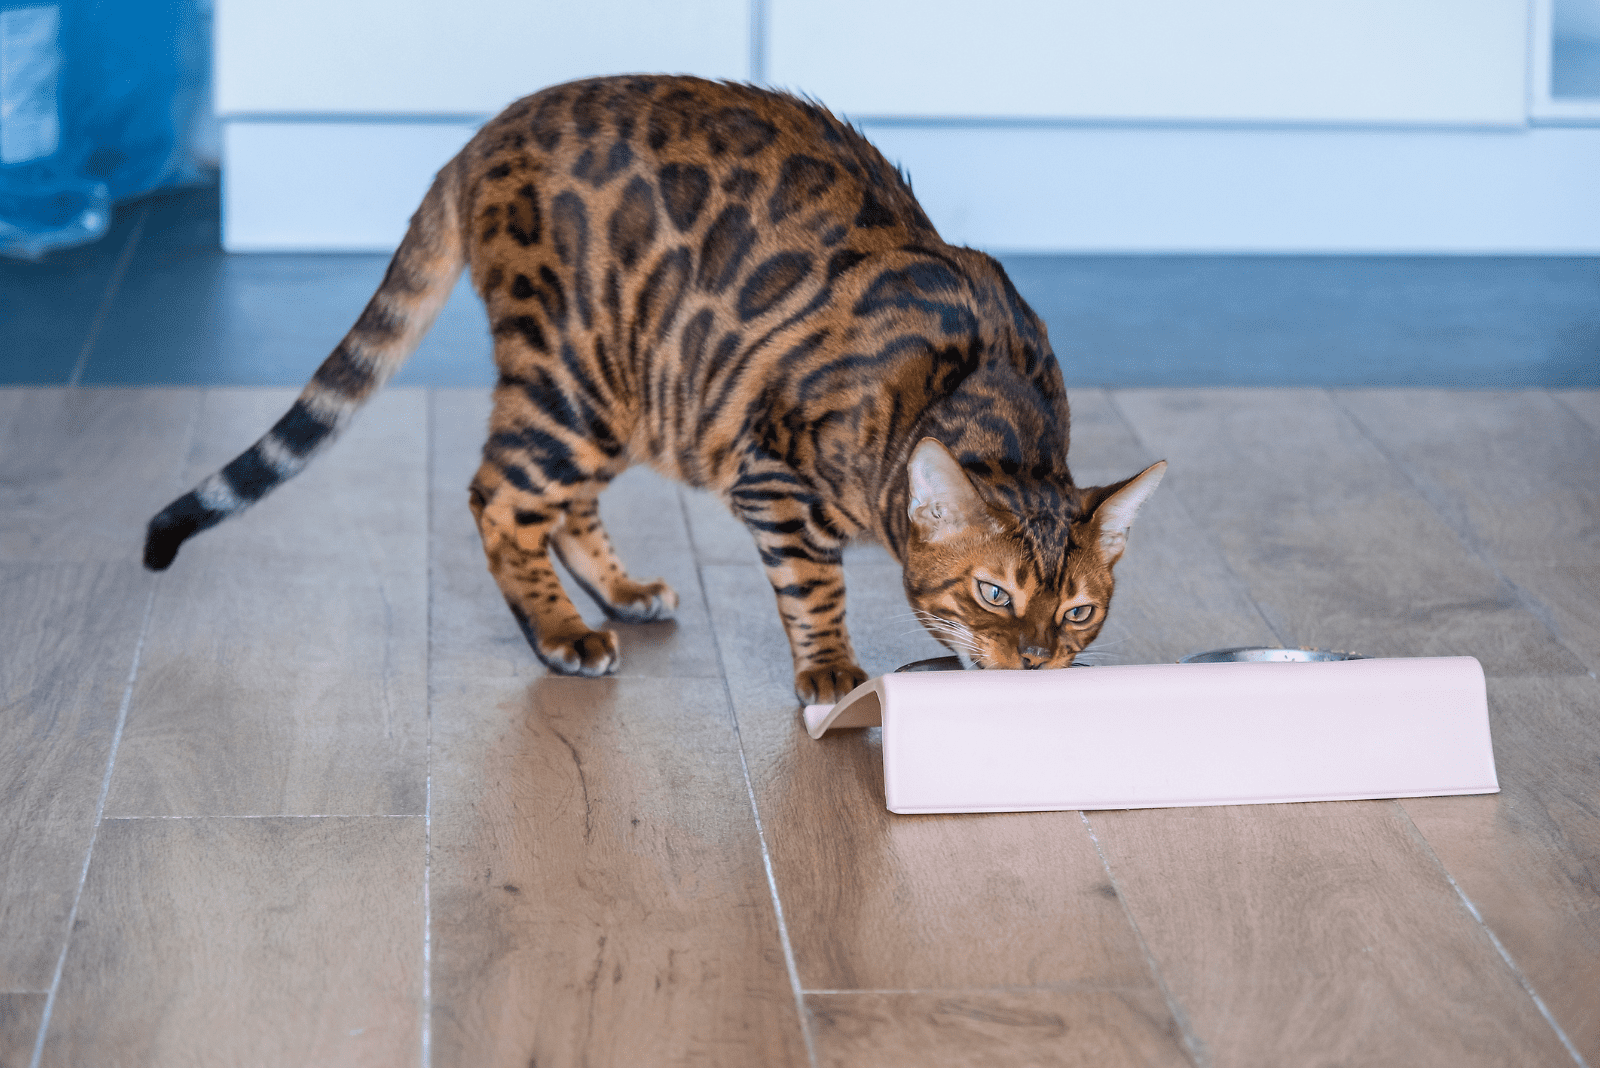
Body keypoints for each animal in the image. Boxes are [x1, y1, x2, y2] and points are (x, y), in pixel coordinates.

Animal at [147, 77, 1164, 709]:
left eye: (1078, 611)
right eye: (993, 593)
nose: (1036, 660)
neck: (986, 394)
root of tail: (482, 133)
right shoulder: (772, 475)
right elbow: (814, 585)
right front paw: (833, 672)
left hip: (635, 391)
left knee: (560, 503)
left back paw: (622, 591)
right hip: (575, 380)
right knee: (498, 497)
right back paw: (561, 633)